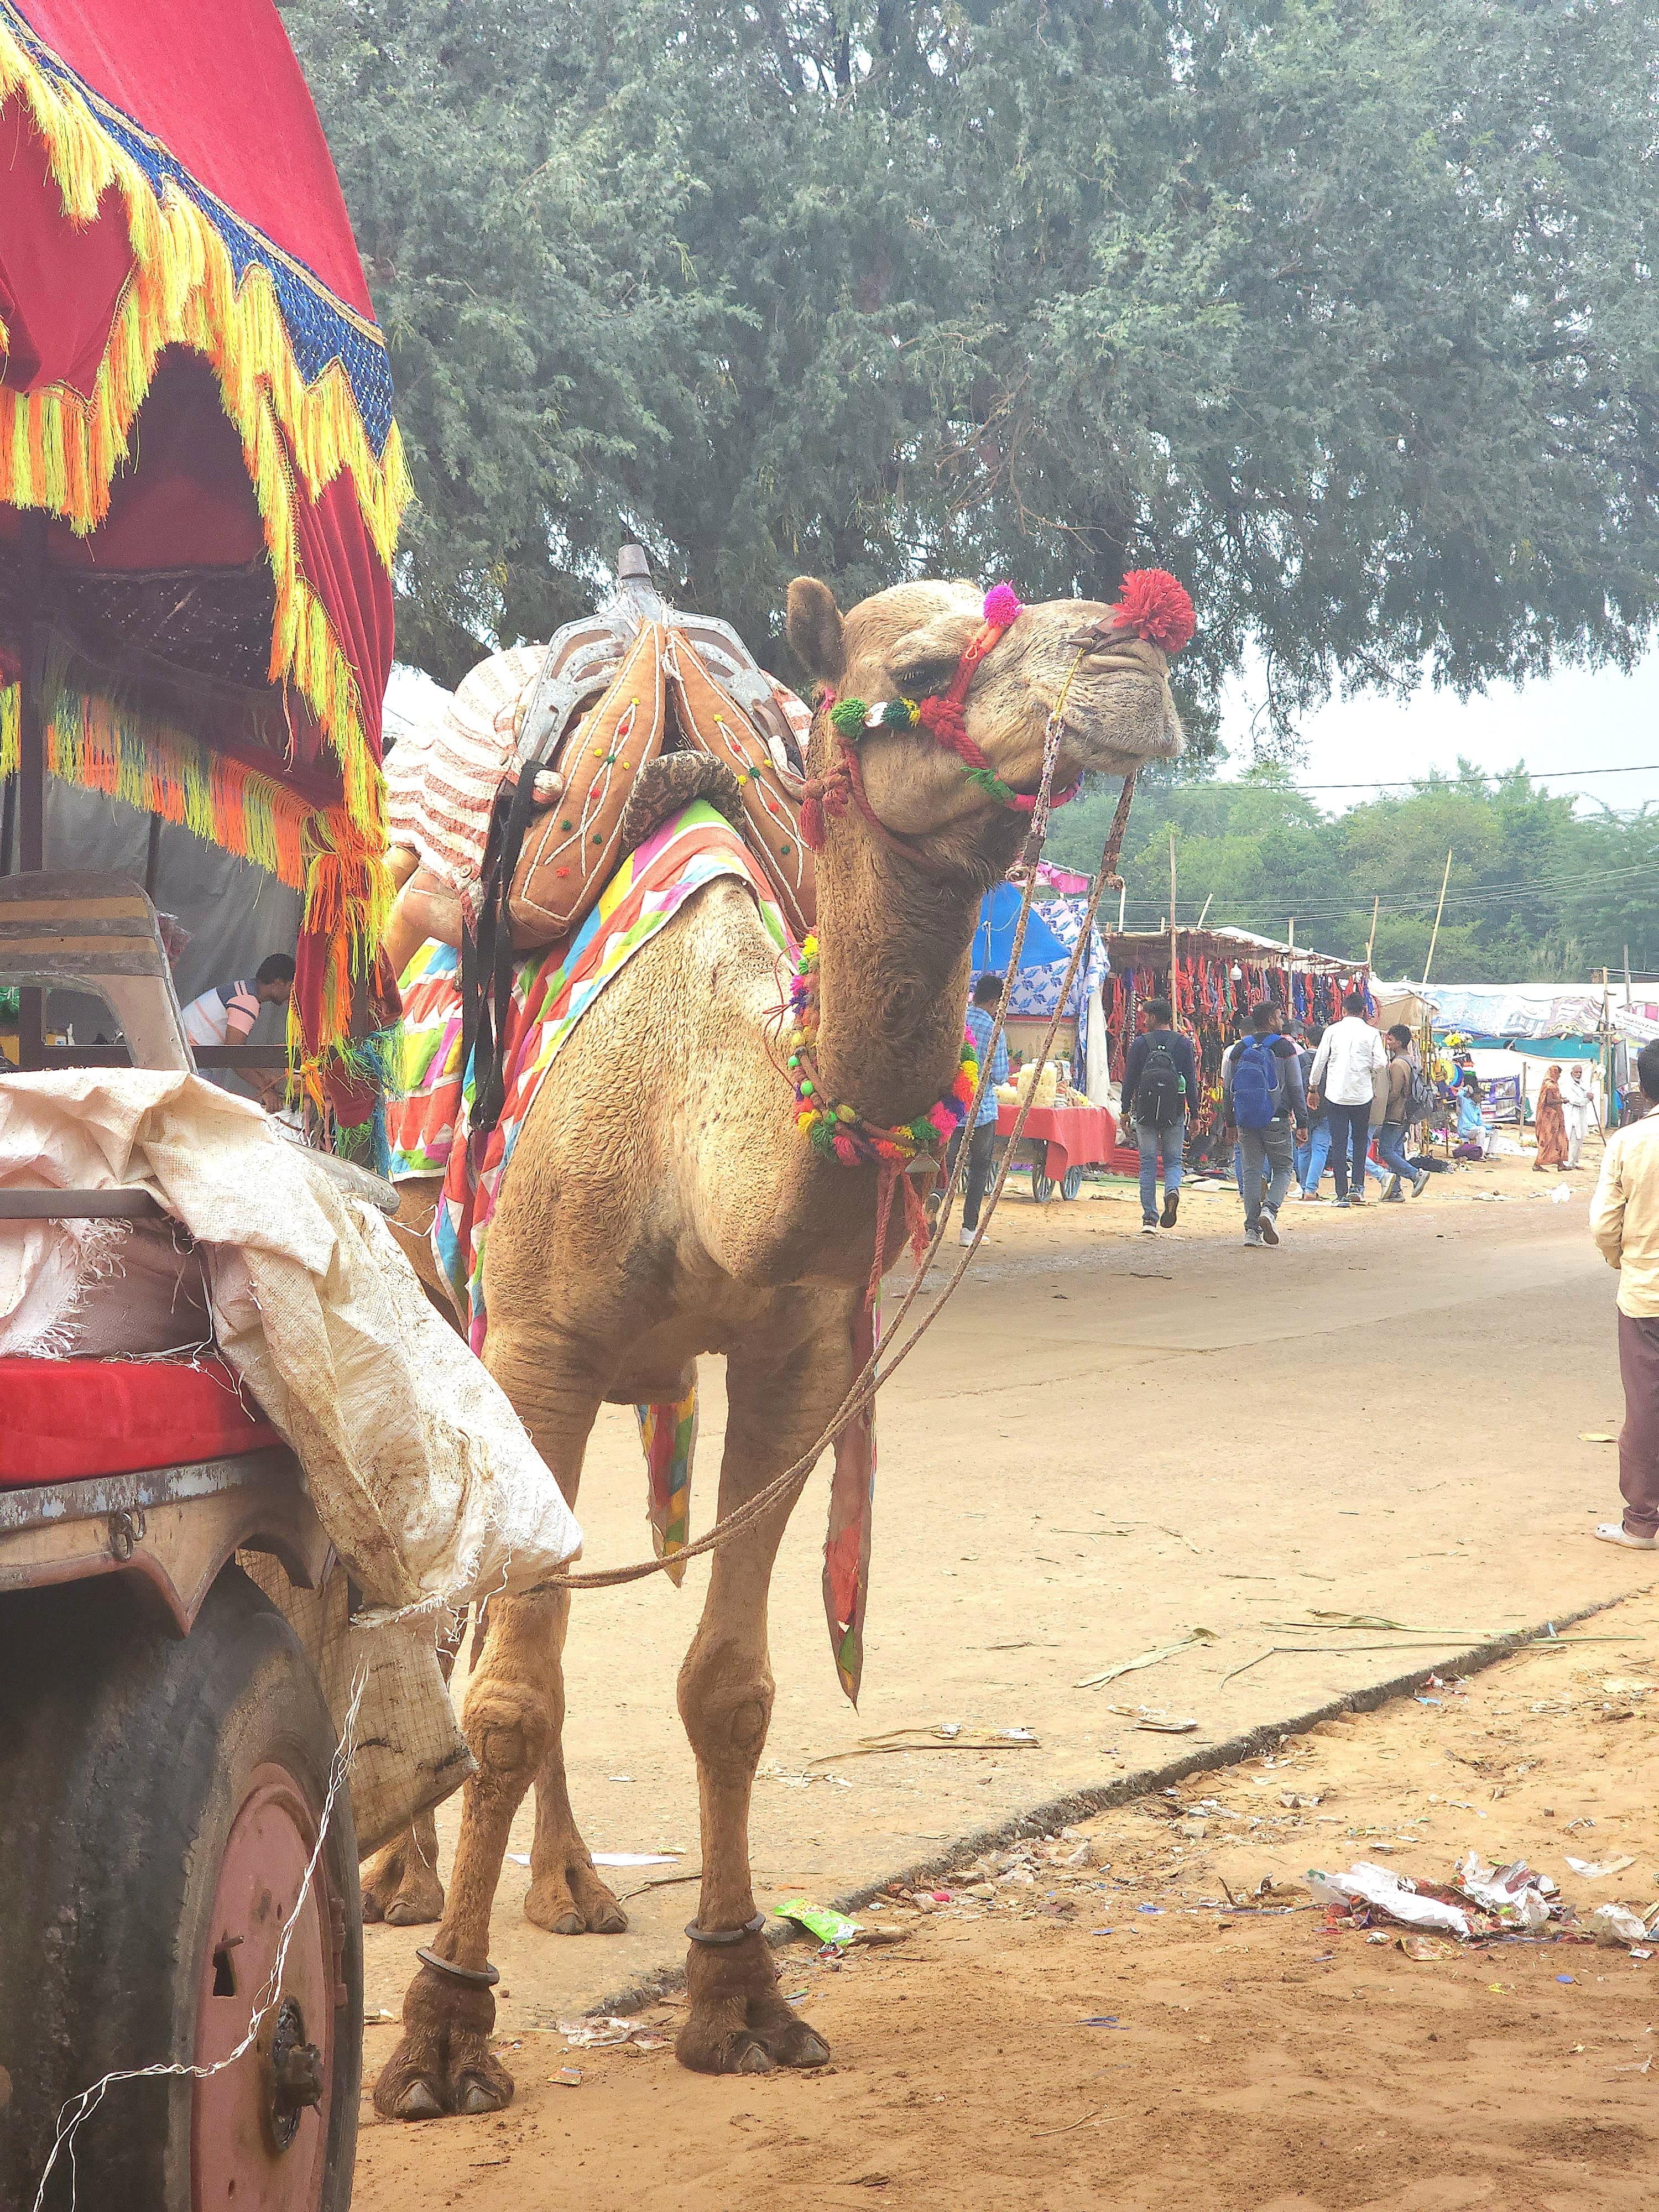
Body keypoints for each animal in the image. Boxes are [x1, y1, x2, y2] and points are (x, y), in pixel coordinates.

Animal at [371, 570, 1185, 2118]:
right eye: (919, 665)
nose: (1138, 648)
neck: (703, 1119)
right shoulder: (543, 1340)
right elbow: (509, 1690)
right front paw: (441, 2030)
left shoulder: (800, 1357)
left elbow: (728, 1689)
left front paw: (740, 1994)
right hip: (435, 1284)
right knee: (442, 1586)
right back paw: (398, 1877)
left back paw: (570, 1882)